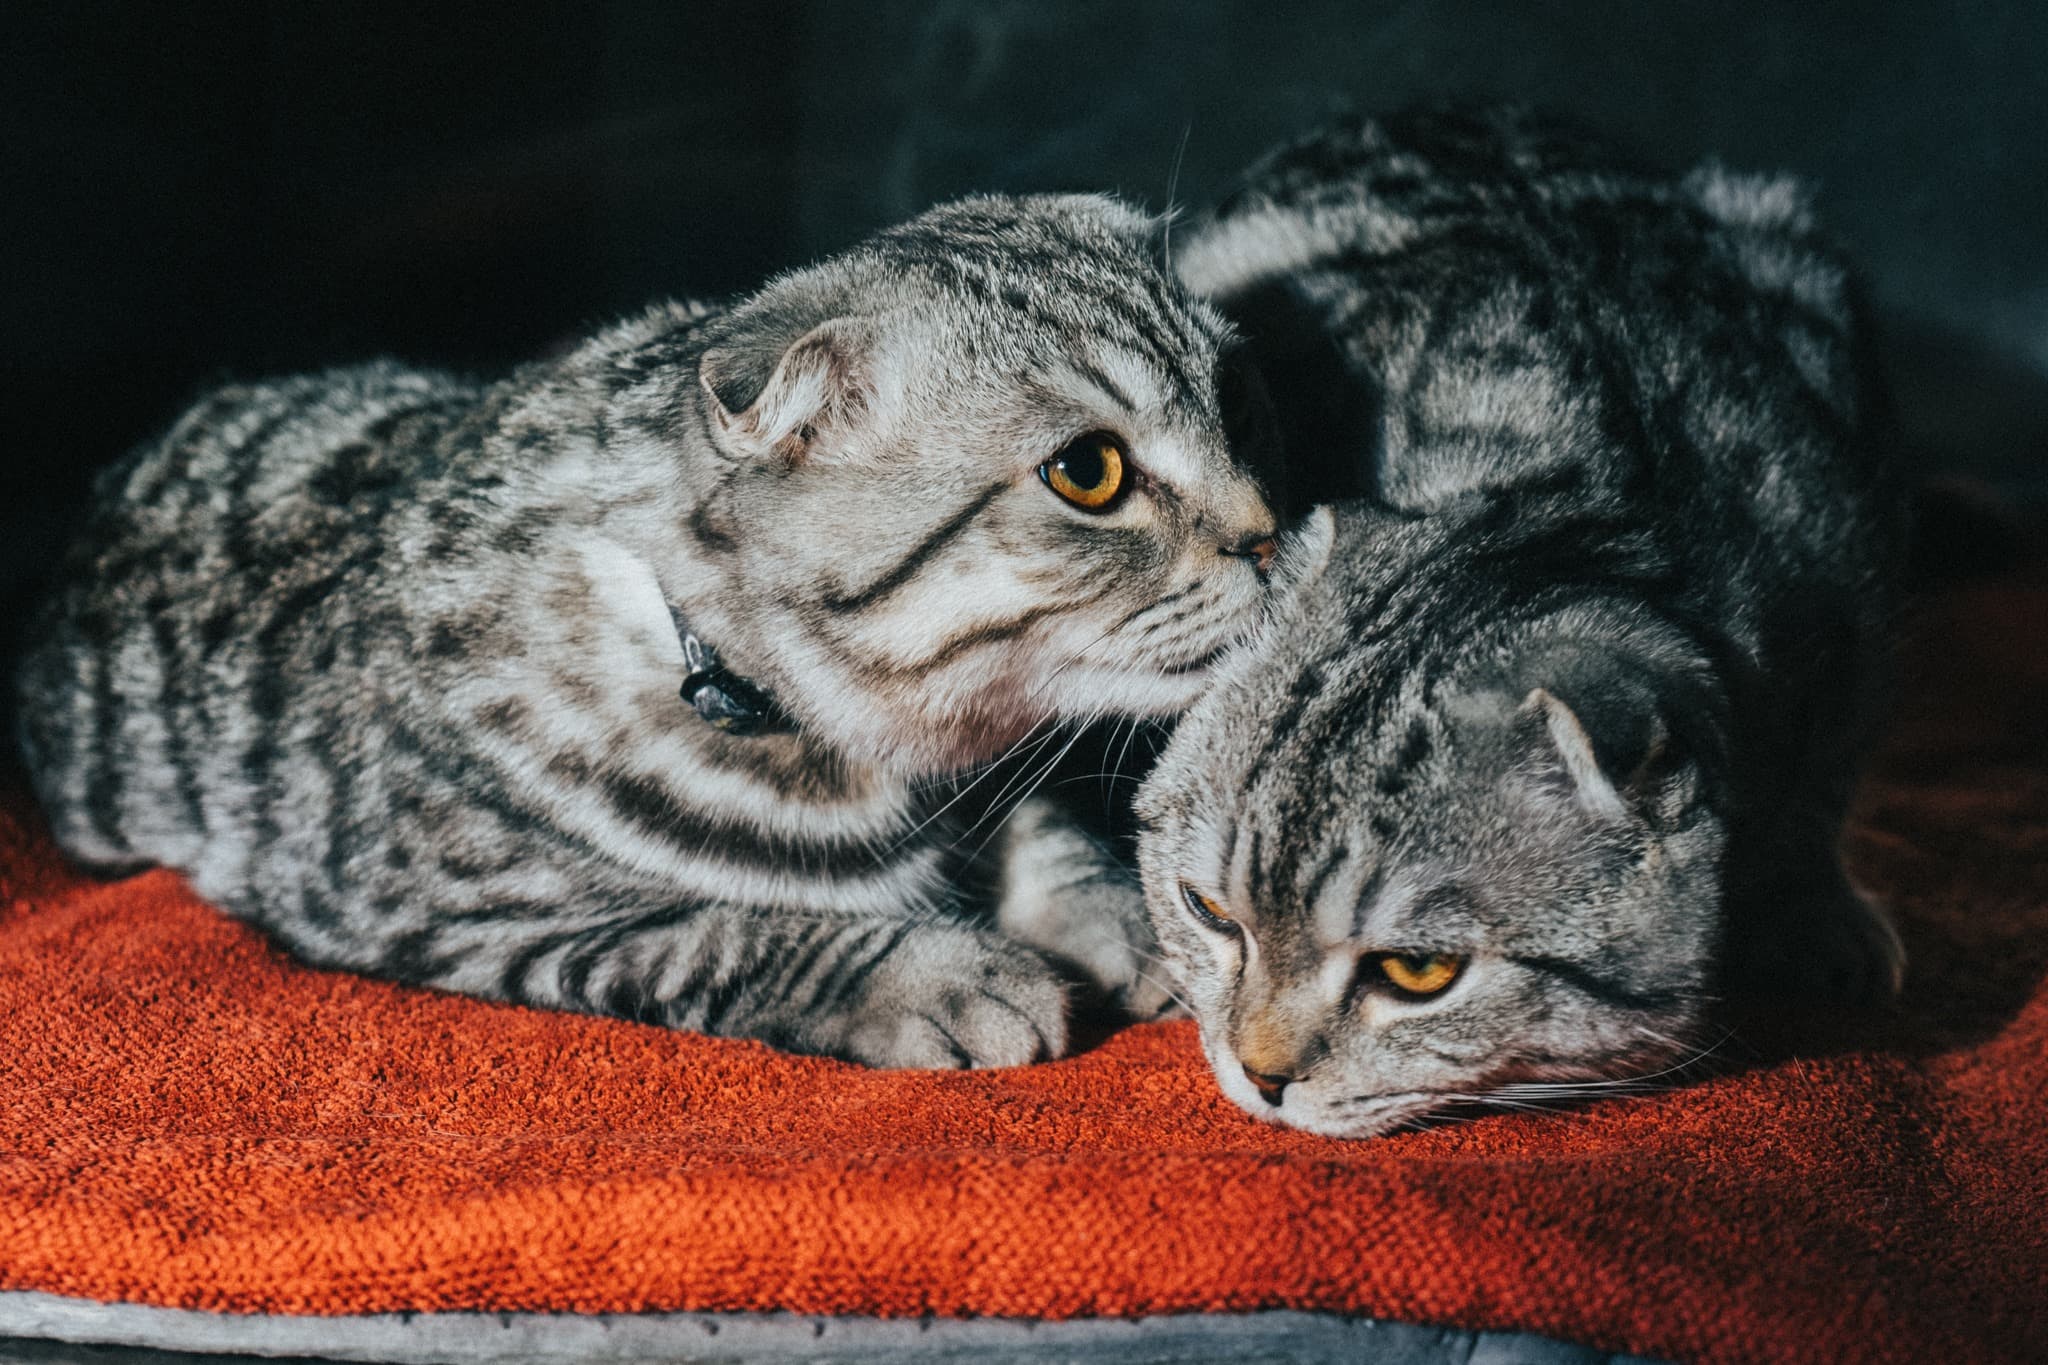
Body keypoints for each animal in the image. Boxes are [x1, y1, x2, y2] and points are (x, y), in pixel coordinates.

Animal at [12, 194, 1277, 1064]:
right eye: (1087, 471)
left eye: (1235, 409)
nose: (1270, 535)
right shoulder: (433, 898)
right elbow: (724, 929)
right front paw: (940, 975)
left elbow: (1040, 824)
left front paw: (1115, 913)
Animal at [1138, 106, 1900, 1137]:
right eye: (1209, 911)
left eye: (1418, 971)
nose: (1261, 1075)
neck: (1572, 506)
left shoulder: (1849, 576)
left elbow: (1822, 784)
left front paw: (1818, 907)